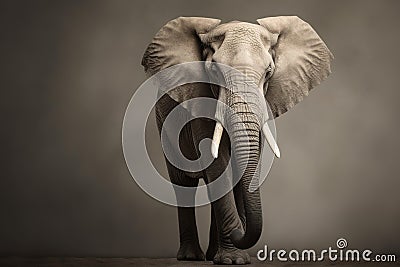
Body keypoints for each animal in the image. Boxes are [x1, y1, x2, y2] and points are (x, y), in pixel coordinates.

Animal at [142, 16, 332, 266]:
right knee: (183, 184)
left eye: (269, 72)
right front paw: (233, 259)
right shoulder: (199, 98)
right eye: (214, 70)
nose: (239, 231)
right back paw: (191, 257)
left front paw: (234, 258)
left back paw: (212, 254)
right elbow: (217, 164)